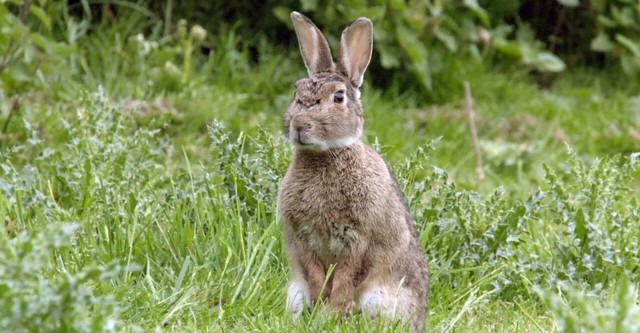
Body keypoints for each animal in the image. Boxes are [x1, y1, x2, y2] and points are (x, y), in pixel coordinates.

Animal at [280, 11, 430, 330]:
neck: (326, 154)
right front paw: (321, 309)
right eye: (297, 91)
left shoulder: (360, 239)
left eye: (339, 97)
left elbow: (347, 278)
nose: (299, 125)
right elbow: (315, 274)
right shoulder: (302, 238)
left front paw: (333, 313)